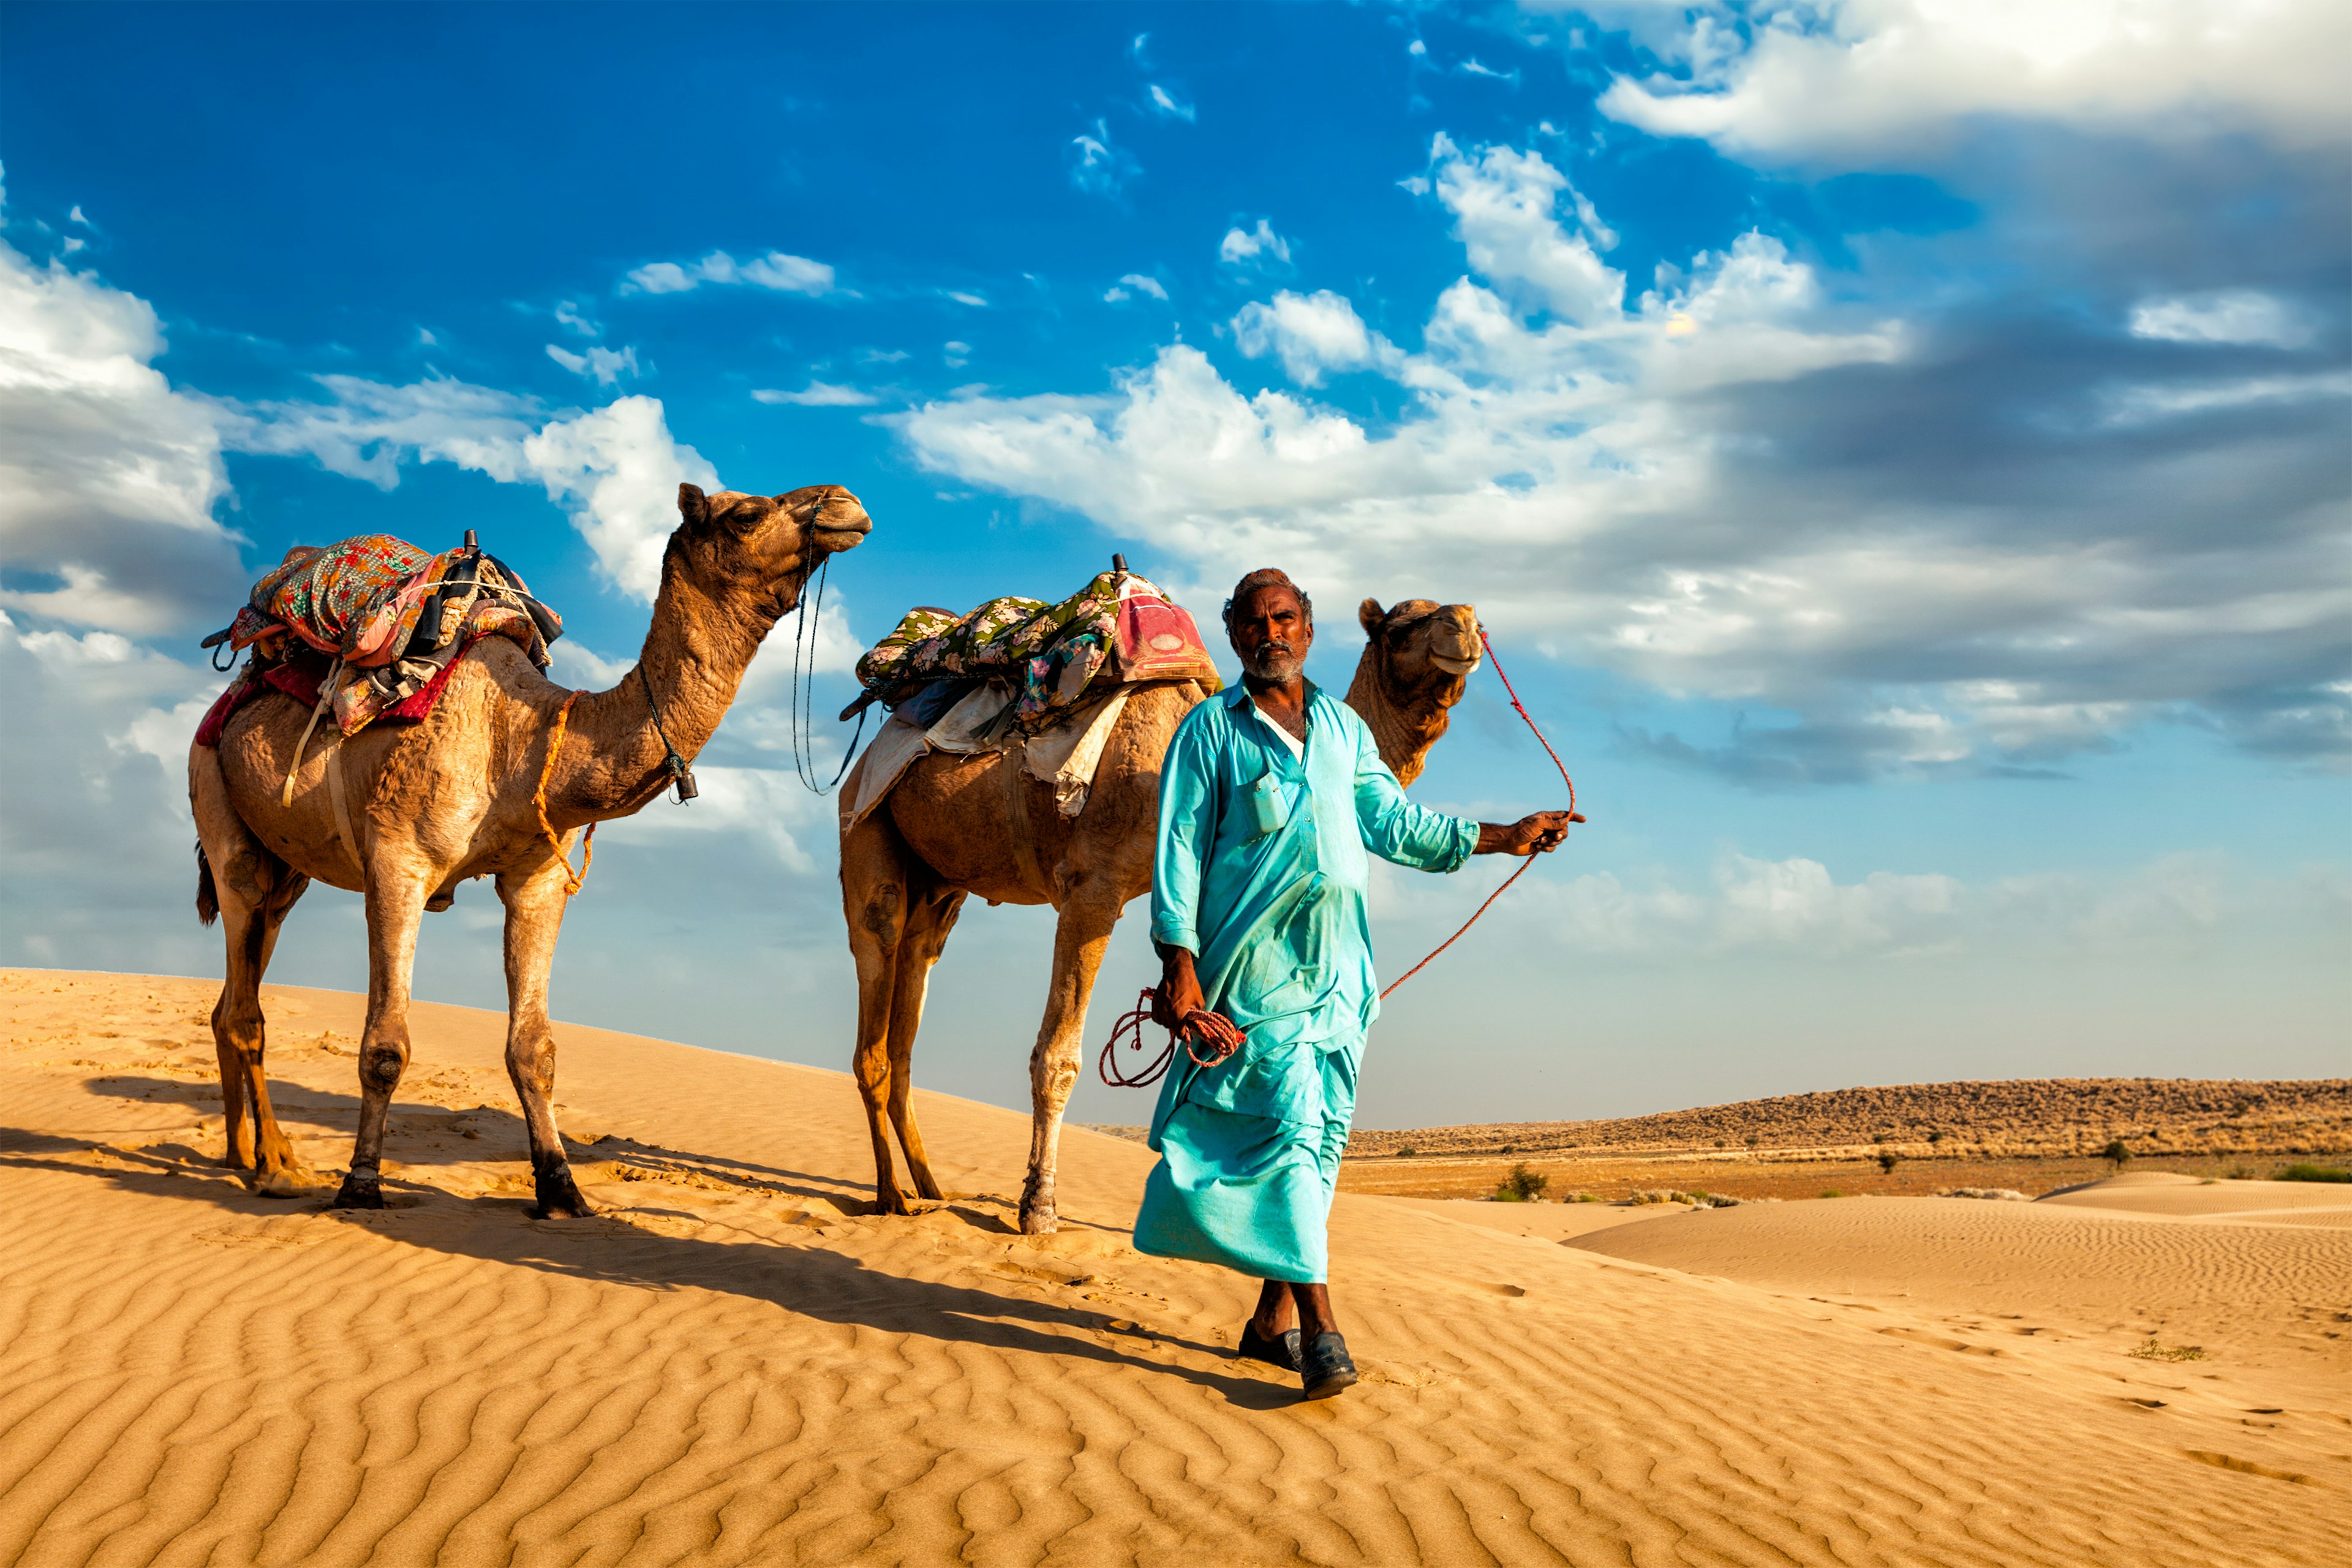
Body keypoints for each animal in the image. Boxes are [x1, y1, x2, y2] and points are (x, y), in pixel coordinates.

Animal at [190, 484, 875, 1222]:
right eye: (746, 514)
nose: (847, 504)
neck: (521, 737)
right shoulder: (398, 863)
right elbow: (385, 1046)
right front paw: (362, 1183)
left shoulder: (537, 877)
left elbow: (533, 1048)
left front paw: (560, 1186)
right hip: (218, 804)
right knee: (246, 1000)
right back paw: (275, 1165)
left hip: (285, 870)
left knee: (236, 992)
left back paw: (244, 1153)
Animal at [837, 595, 1477, 1232]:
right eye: (1398, 630)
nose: (1465, 624)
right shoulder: (1092, 886)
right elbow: (1058, 1057)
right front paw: (1039, 1206)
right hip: (866, 823)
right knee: (877, 963)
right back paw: (890, 1196)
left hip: (942, 882)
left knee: (915, 983)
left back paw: (929, 1187)